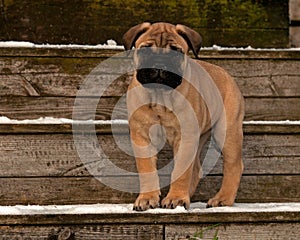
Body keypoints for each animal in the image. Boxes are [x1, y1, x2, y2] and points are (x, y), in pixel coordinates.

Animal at [122, 22, 244, 210]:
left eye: (176, 52)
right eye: (145, 50)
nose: (160, 65)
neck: (159, 97)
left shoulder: (186, 137)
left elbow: (180, 170)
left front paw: (176, 198)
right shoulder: (142, 136)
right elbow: (146, 169)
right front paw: (147, 198)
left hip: (227, 133)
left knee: (234, 166)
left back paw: (222, 199)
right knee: (197, 169)